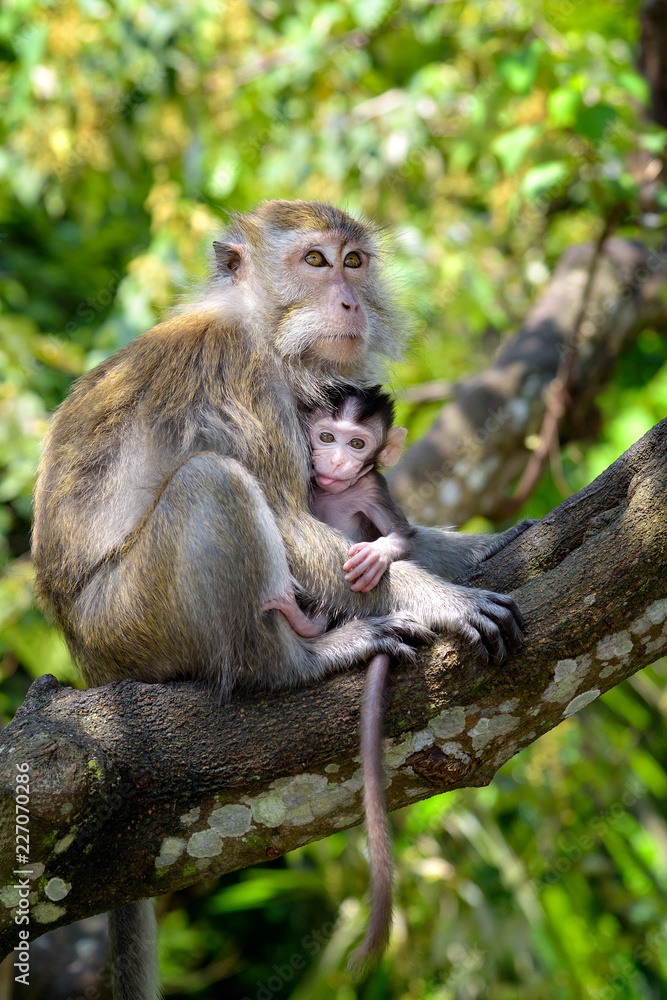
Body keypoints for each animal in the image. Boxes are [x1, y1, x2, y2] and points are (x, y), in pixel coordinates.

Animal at [32, 200, 528, 998]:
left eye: (354, 262)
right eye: (315, 262)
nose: (350, 301)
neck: (257, 322)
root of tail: (89, 663)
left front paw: (483, 546)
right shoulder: (243, 376)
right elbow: (291, 518)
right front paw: (446, 600)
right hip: (135, 621)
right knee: (213, 481)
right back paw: (292, 662)